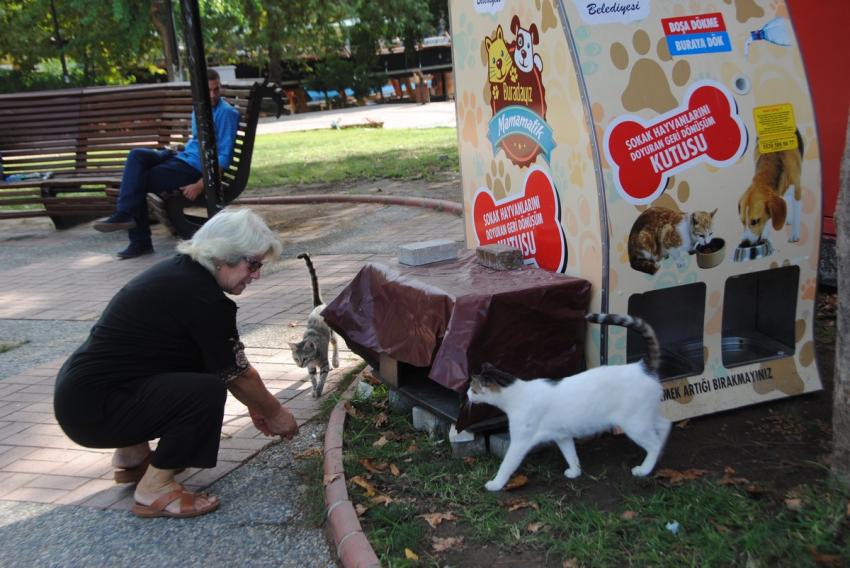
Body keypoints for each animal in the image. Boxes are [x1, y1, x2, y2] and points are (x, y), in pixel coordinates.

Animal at [286, 255, 336, 398]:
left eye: (305, 358)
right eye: (296, 359)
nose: (300, 365)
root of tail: (318, 305)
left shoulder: (323, 364)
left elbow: (322, 378)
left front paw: (319, 390)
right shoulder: (311, 368)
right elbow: (313, 378)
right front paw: (314, 389)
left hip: (332, 334)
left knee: (335, 345)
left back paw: (335, 362)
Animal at [464, 312, 668, 490]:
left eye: (473, 389)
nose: (466, 394)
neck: (517, 393)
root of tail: (641, 366)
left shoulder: (519, 442)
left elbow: (506, 465)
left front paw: (495, 484)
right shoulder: (562, 435)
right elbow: (571, 455)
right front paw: (575, 472)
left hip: (634, 424)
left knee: (654, 444)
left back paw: (645, 469)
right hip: (644, 418)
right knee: (664, 426)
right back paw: (661, 449)